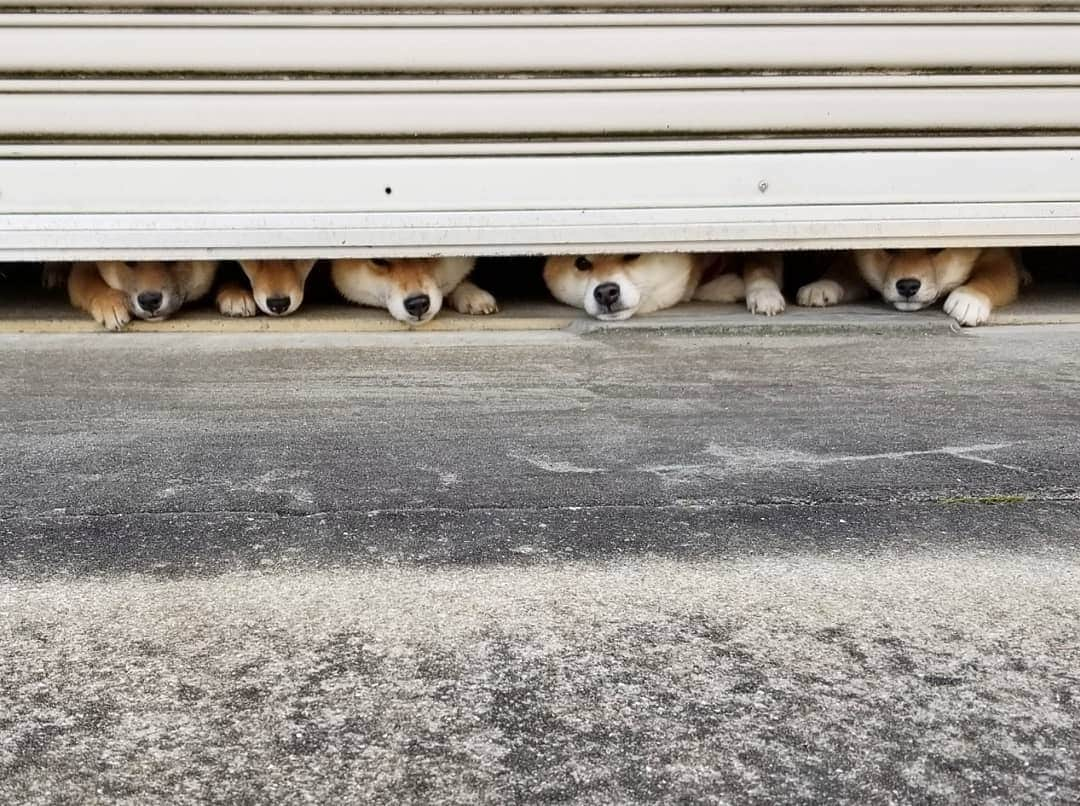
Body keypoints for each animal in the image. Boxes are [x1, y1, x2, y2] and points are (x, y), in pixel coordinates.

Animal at [540, 250, 786, 319]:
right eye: (582, 263)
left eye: (632, 254)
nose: (606, 292)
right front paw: (729, 286)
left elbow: (758, 266)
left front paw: (764, 294)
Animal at [799, 246, 1023, 324]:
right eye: (889, 248)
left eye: (936, 248)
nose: (907, 286)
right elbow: (842, 271)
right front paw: (820, 285)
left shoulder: (998, 260)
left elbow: (989, 278)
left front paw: (969, 299)